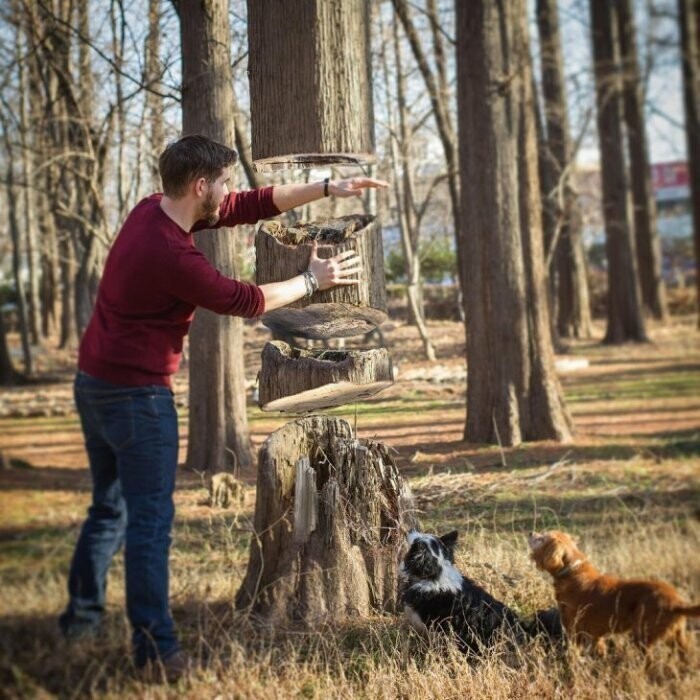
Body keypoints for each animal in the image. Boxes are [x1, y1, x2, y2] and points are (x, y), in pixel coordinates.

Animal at [528, 532, 696, 656]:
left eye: (542, 538)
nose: (531, 533)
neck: (572, 571)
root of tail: (676, 602)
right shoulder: (596, 633)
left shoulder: (573, 627)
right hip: (676, 638)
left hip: (642, 635)